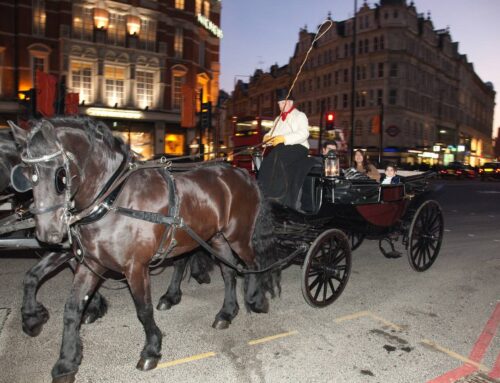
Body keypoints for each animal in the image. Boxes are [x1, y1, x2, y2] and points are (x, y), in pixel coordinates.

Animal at [10, 118, 278, 383]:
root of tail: (242, 173)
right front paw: (66, 360)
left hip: (238, 236)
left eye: (60, 175)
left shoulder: (135, 267)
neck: (113, 200)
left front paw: (151, 349)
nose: (48, 233)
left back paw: (256, 299)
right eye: (27, 174)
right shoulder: (91, 263)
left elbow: (143, 309)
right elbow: (71, 308)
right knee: (228, 272)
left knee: (253, 264)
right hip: (215, 237)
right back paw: (226, 312)